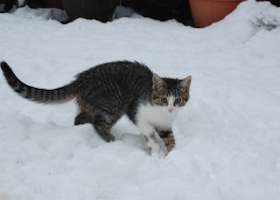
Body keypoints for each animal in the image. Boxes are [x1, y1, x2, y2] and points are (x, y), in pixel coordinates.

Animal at [0, 60, 191, 156]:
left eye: (178, 100)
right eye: (164, 100)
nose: (171, 109)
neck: (160, 114)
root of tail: (81, 79)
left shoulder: (165, 125)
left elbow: (171, 139)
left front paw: (169, 155)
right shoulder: (136, 111)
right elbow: (149, 131)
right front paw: (154, 149)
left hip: (95, 104)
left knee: (81, 118)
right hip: (113, 102)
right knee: (97, 122)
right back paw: (111, 140)